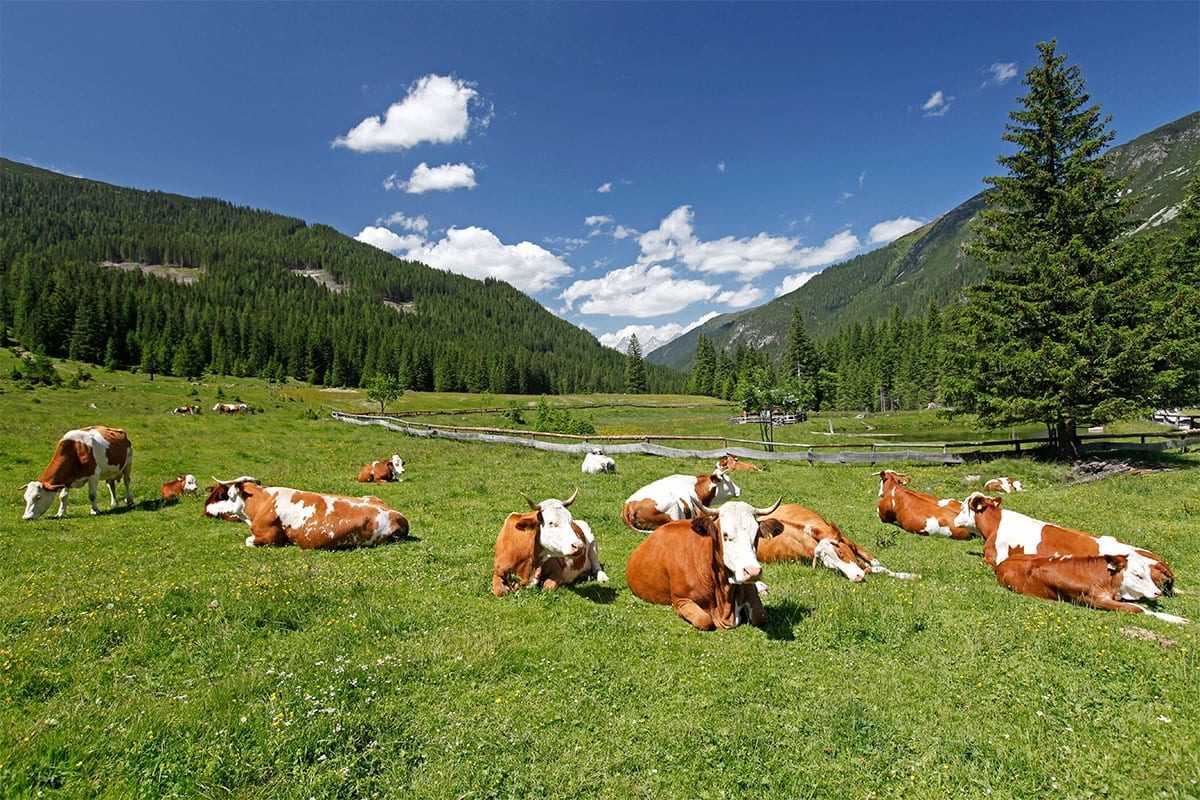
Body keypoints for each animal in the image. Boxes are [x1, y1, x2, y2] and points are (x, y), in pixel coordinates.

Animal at [205, 474, 408, 551]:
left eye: (223, 494)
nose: (205, 509)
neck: (262, 502)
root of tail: (399, 516)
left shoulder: (271, 538)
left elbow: (248, 541)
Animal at [624, 494, 782, 633]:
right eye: (725, 535)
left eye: (756, 534)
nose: (753, 571)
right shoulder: (681, 600)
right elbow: (704, 620)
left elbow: (760, 616)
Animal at [758, 506, 916, 582]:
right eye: (831, 566)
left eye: (840, 552)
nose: (856, 578)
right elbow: (876, 570)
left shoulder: (850, 542)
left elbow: (877, 564)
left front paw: (909, 575)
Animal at [988, 551, 1185, 623]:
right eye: (1137, 575)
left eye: (1148, 573)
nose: (1157, 592)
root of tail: (1003, 562)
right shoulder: (1093, 600)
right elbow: (1136, 609)